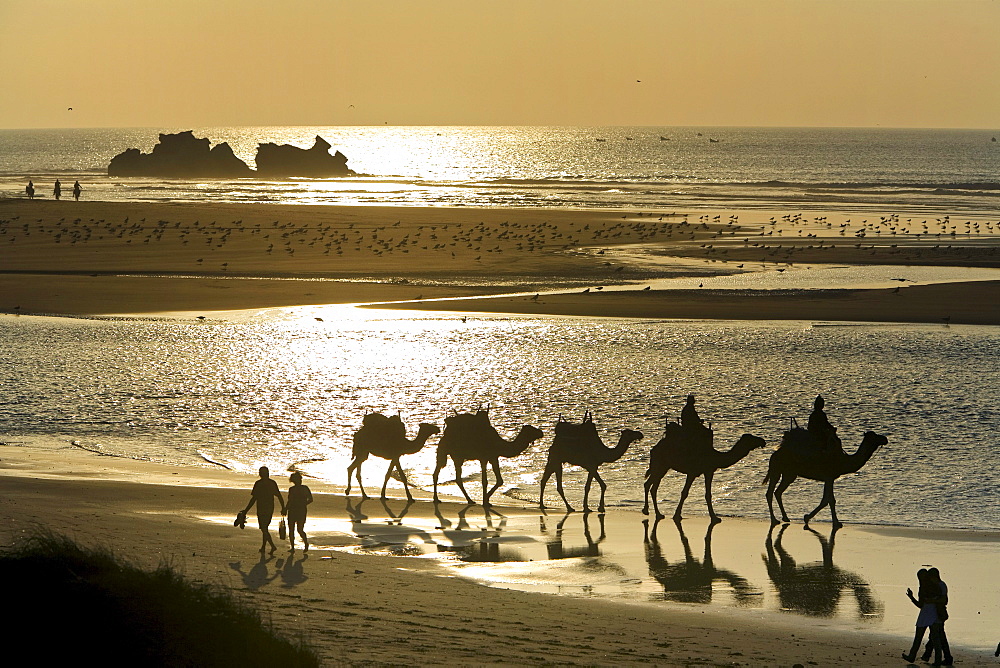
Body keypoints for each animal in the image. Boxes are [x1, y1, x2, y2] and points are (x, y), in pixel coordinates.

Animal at [760, 430, 888, 528]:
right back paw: (774, 519)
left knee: (778, 492)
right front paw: (835, 522)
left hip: (789, 474)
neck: (844, 461)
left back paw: (785, 518)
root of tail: (774, 454)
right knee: (770, 492)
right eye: (874, 436)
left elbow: (827, 499)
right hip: (777, 470)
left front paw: (808, 517)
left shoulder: (829, 479)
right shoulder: (829, 477)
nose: (885, 438)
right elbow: (829, 499)